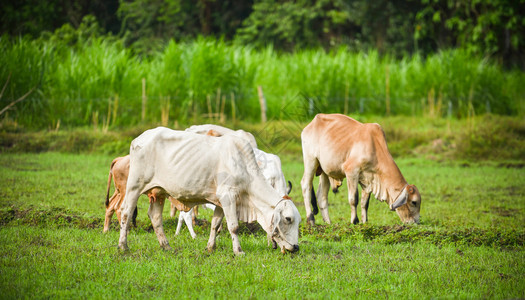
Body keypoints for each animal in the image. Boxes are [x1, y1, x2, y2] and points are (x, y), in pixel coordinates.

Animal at [118, 126, 298, 255]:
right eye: (288, 219)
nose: (296, 248)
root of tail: (139, 138)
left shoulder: (220, 201)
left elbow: (215, 225)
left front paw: (210, 247)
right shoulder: (228, 196)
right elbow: (234, 226)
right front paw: (238, 251)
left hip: (159, 192)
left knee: (155, 217)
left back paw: (166, 246)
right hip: (134, 186)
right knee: (126, 213)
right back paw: (123, 247)